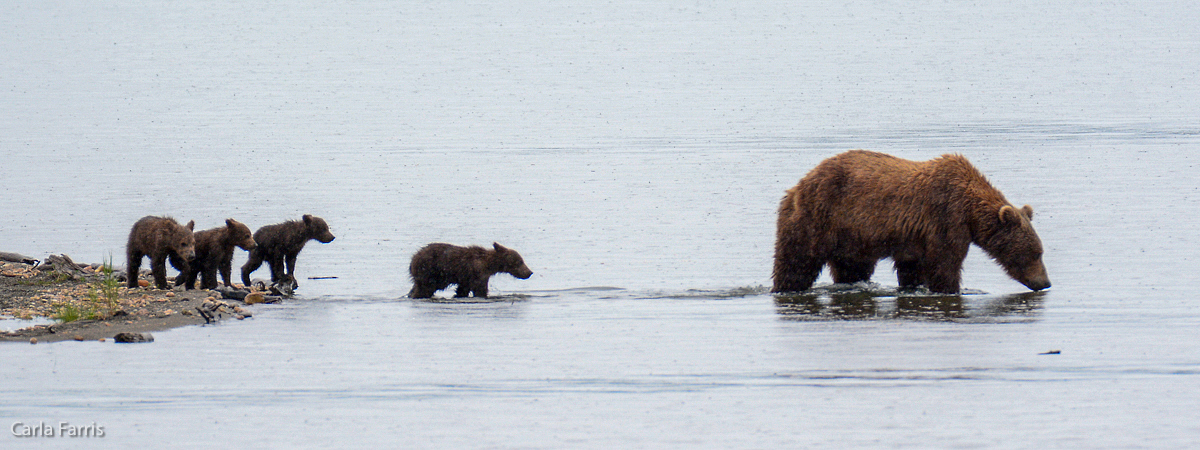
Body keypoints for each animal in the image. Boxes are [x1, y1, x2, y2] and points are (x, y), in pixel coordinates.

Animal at [777, 150, 1051, 294]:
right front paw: (951, 288)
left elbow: (913, 269)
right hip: (818, 218)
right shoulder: (945, 217)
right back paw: (787, 285)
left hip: (851, 238)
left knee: (851, 268)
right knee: (797, 262)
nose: (1045, 283)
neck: (970, 211)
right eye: (1034, 253)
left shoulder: (914, 240)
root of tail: (797, 185)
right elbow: (945, 264)